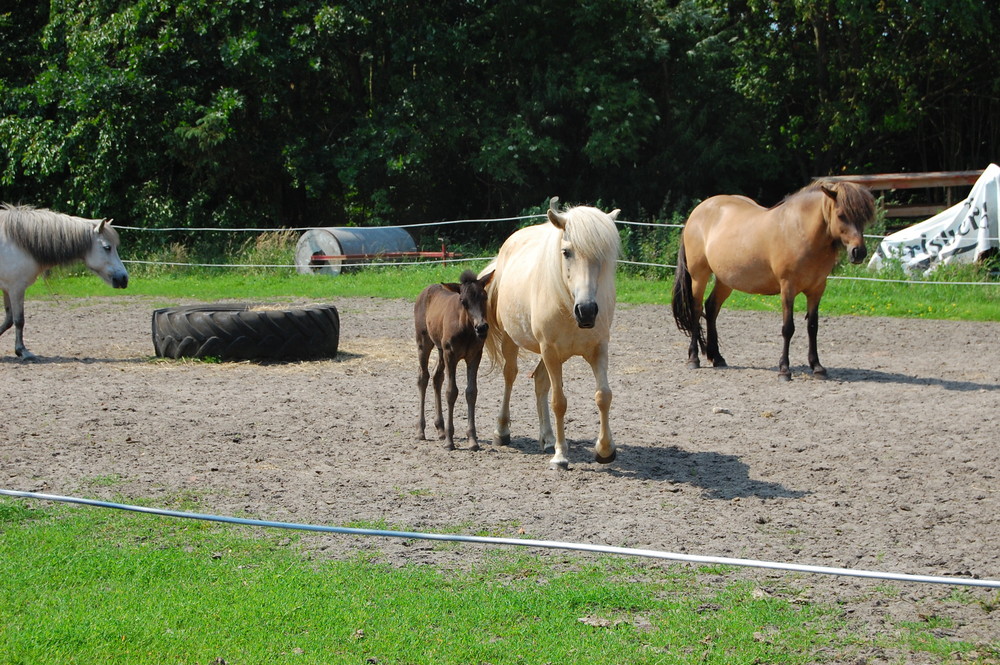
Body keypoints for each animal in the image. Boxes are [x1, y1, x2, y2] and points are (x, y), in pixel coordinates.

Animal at [0, 202, 129, 360]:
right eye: (107, 247)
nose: (123, 278)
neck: (17, 243)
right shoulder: (16, 288)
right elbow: (19, 320)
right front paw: (22, 351)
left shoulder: (7, 288)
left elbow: (8, 320)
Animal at [412, 268, 494, 448]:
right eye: (463, 301)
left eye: (484, 296)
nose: (481, 327)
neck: (466, 328)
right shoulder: (451, 354)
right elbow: (451, 392)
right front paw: (450, 441)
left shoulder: (474, 356)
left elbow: (471, 392)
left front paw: (472, 440)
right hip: (424, 342)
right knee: (423, 377)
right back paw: (421, 430)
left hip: (440, 349)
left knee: (437, 377)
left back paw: (440, 429)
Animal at [482, 195, 620, 470]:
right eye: (566, 252)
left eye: (603, 255)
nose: (587, 311)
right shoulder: (551, 351)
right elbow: (559, 402)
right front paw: (560, 456)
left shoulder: (598, 349)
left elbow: (603, 396)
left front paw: (604, 449)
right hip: (515, 342)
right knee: (510, 376)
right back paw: (502, 431)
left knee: (539, 381)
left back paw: (546, 437)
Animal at [672, 180, 876, 378]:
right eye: (841, 215)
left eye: (864, 217)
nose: (859, 252)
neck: (800, 231)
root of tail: (697, 212)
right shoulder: (788, 287)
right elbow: (788, 328)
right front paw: (784, 369)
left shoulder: (817, 289)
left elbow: (812, 326)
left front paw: (817, 367)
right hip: (699, 275)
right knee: (696, 310)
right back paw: (693, 359)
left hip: (725, 280)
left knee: (711, 308)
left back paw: (717, 358)